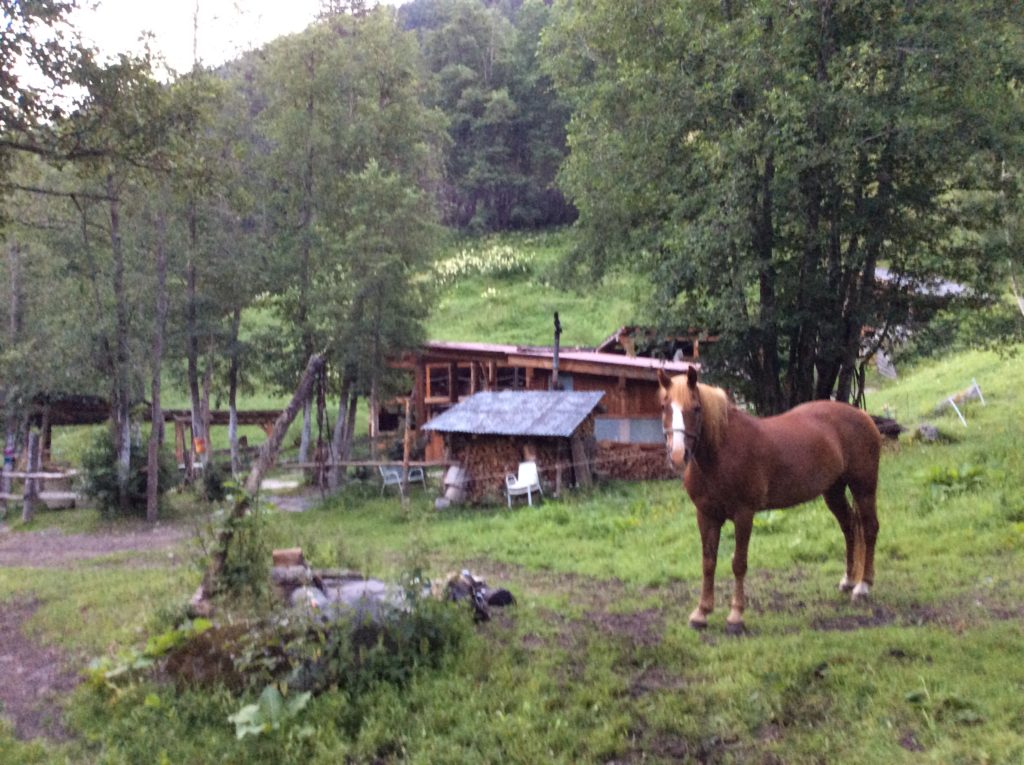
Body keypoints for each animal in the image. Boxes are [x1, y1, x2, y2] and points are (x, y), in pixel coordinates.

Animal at [659, 366, 884, 634]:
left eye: (695, 408)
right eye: (664, 407)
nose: (677, 455)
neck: (721, 453)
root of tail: (863, 416)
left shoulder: (744, 515)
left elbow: (738, 563)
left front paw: (735, 616)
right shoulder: (706, 516)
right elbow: (708, 562)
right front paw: (701, 613)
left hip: (863, 488)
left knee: (869, 529)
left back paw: (863, 586)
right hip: (834, 491)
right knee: (849, 528)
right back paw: (849, 580)